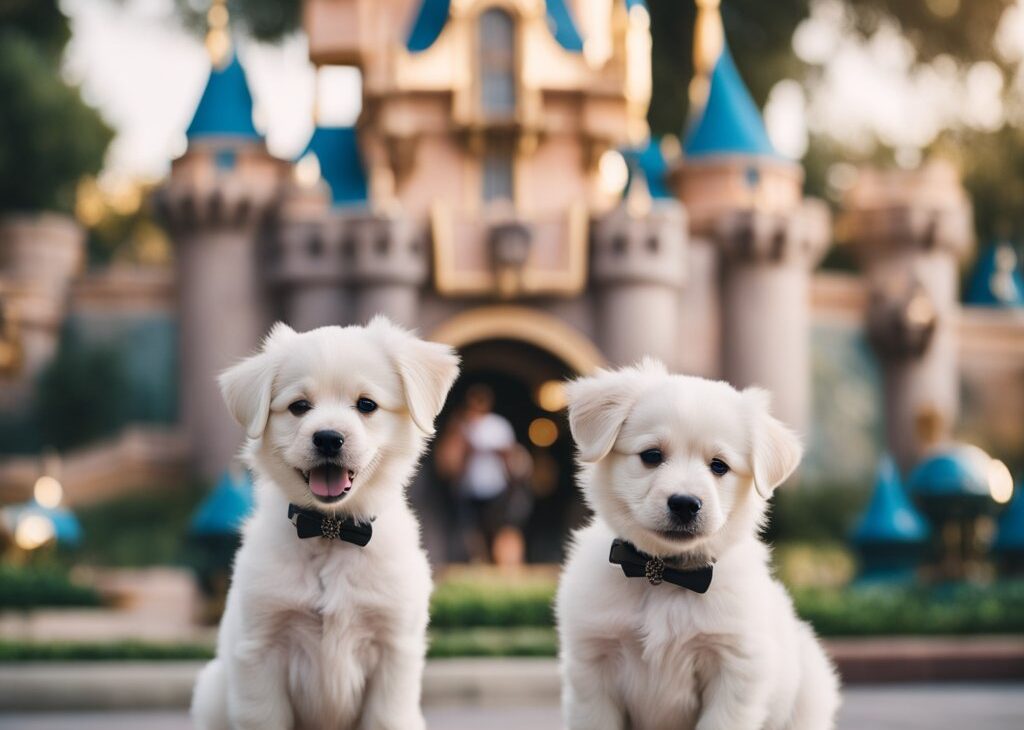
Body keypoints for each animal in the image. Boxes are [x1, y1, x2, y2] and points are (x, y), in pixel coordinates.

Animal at [191, 317, 460, 728]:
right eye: (299, 406)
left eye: (366, 404)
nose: (329, 438)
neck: (331, 533)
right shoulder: (260, 651)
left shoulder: (394, 649)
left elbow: (385, 716)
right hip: (212, 688)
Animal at [557, 360, 835, 728]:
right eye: (651, 455)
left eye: (719, 466)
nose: (685, 504)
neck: (663, 574)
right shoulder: (592, 666)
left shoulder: (736, 669)